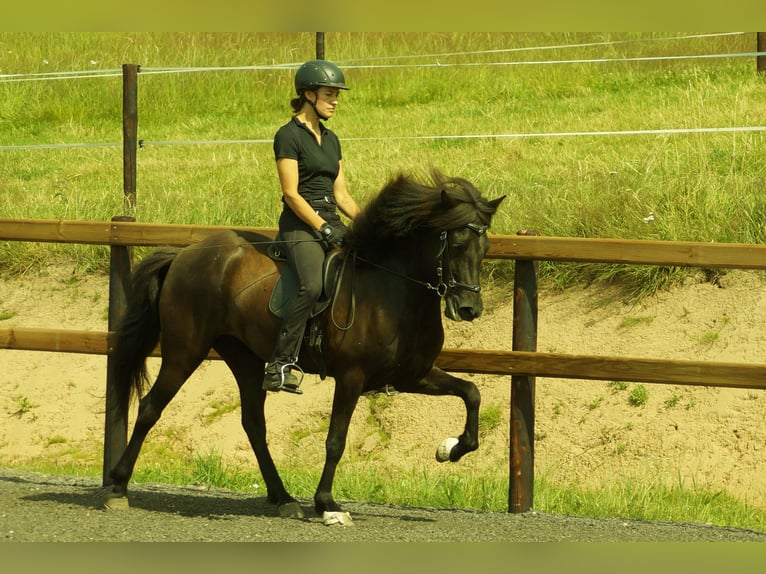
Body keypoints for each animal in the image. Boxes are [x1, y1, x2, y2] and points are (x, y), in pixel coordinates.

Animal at [106, 168, 504, 528]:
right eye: (455, 245)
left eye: (485, 248)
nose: (468, 309)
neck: (393, 291)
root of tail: (184, 255)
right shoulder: (352, 377)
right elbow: (335, 440)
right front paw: (327, 504)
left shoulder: (412, 375)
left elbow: (471, 392)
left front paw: (451, 449)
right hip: (185, 351)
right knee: (150, 408)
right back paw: (118, 488)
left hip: (245, 358)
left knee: (253, 424)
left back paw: (283, 498)